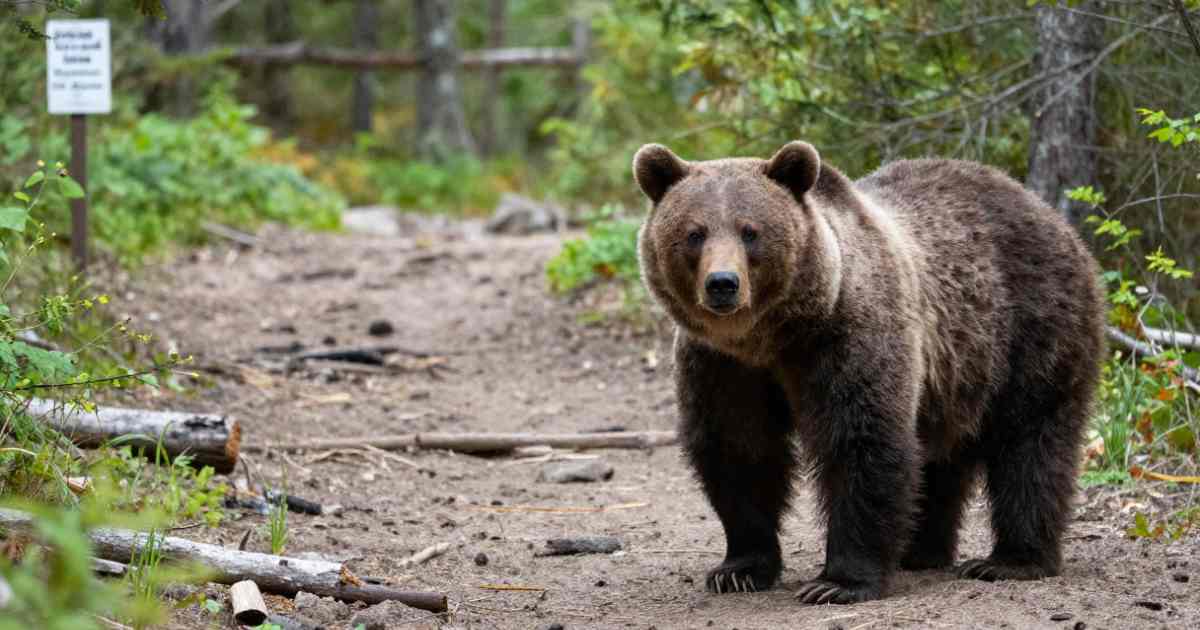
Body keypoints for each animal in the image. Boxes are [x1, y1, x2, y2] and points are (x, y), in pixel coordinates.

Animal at [632, 140, 1105, 604]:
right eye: (694, 233)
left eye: (751, 231)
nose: (723, 284)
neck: (772, 338)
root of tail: (1046, 211)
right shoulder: (723, 365)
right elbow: (739, 449)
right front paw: (739, 569)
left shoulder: (848, 333)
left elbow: (861, 439)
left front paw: (838, 581)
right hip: (957, 374)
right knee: (940, 458)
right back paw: (921, 550)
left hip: (1034, 328)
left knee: (1031, 443)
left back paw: (1011, 560)